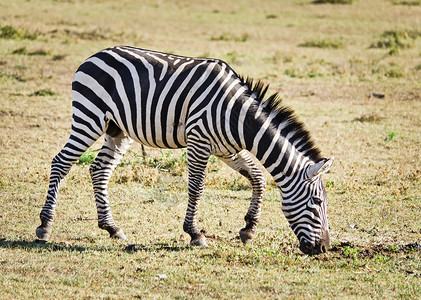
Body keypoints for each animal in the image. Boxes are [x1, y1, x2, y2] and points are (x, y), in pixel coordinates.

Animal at [36, 45, 334, 254]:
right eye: (317, 203)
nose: (323, 248)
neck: (237, 116)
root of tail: (94, 56)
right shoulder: (198, 141)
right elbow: (197, 187)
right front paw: (195, 234)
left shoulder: (227, 150)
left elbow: (258, 178)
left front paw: (248, 229)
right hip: (89, 116)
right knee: (61, 162)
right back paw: (44, 226)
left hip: (116, 128)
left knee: (100, 170)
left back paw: (112, 228)